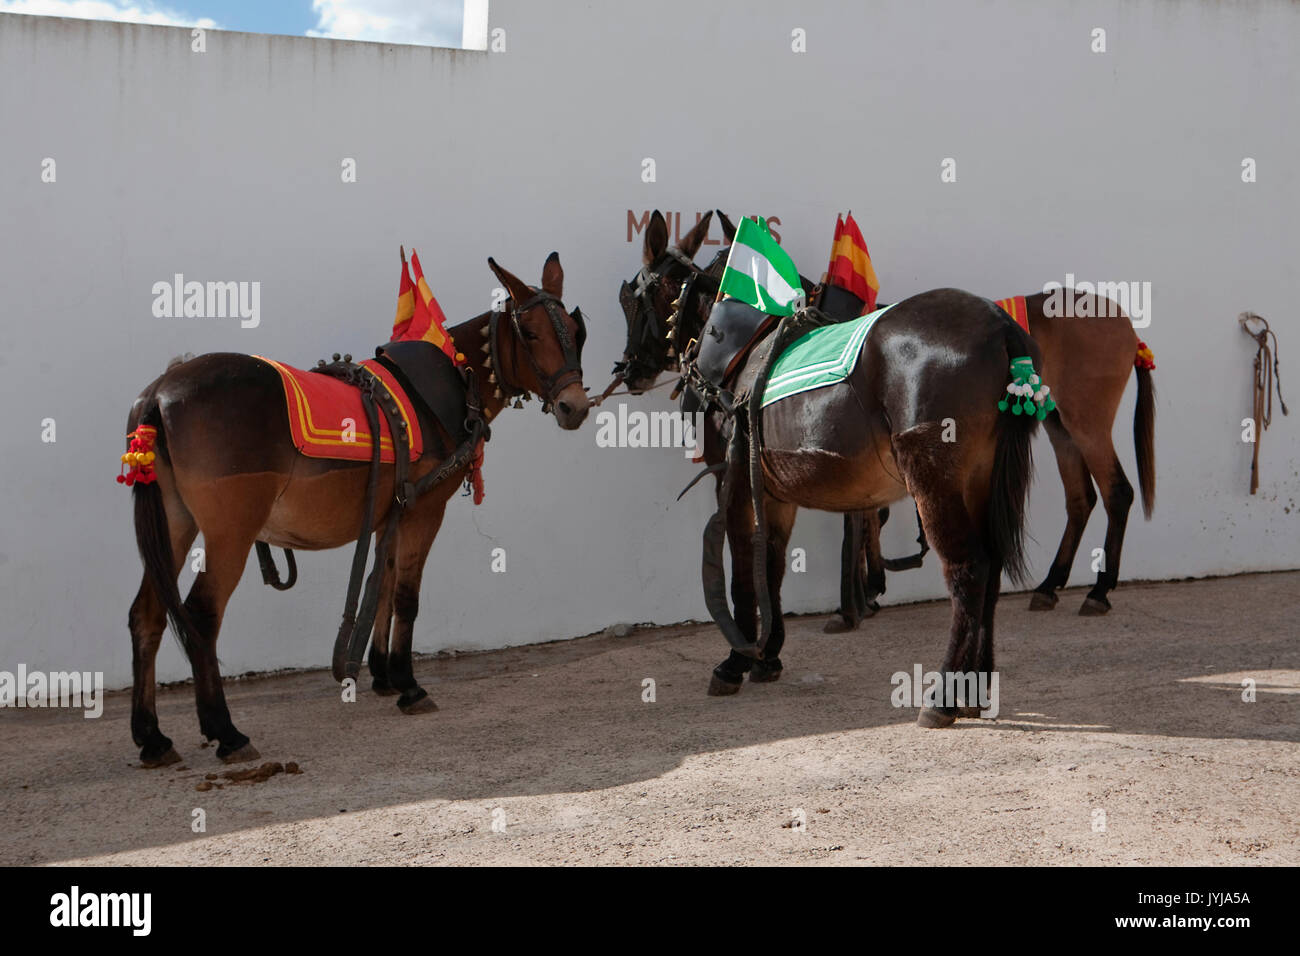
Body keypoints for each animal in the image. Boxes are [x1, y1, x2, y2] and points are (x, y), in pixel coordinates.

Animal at [125, 253, 590, 767]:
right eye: (531, 333)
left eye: (575, 330)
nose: (575, 405)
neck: (455, 380)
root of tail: (160, 391)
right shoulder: (426, 511)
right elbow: (406, 595)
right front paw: (408, 683)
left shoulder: (393, 513)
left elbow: (380, 585)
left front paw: (384, 674)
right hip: (231, 532)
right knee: (202, 616)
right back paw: (226, 731)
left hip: (176, 523)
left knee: (146, 614)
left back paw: (152, 736)